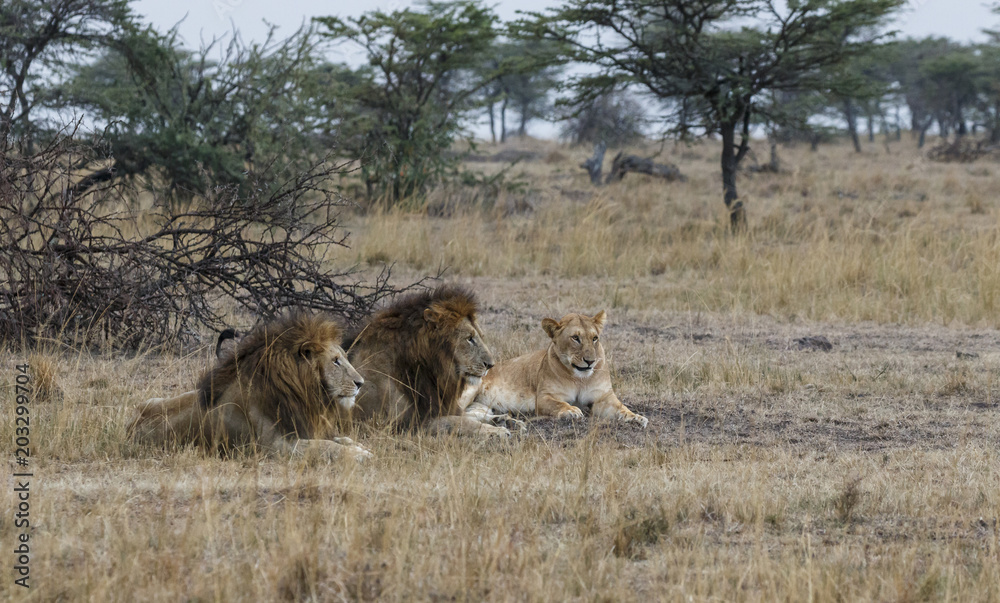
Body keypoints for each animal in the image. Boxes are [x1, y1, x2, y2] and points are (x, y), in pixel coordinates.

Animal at [126, 311, 372, 461]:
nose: (360, 383)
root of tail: (130, 427)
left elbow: (340, 439)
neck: (300, 393)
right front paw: (360, 455)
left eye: (343, 357)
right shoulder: (274, 447)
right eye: (335, 361)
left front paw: (360, 447)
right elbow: (325, 447)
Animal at [346, 285, 512, 437]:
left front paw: (505, 420)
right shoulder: (403, 425)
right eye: (469, 338)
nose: (491, 365)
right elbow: (459, 421)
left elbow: (469, 416)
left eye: (480, 336)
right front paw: (498, 431)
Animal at [465, 311, 649, 427]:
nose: (590, 361)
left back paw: (507, 422)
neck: (580, 378)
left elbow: (621, 407)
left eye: (595, 338)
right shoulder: (544, 397)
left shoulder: (603, 397)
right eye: (575, 338)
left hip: (479, 406)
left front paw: (636, 417)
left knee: (470, 415)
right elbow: (559, 404)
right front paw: (572, 411)